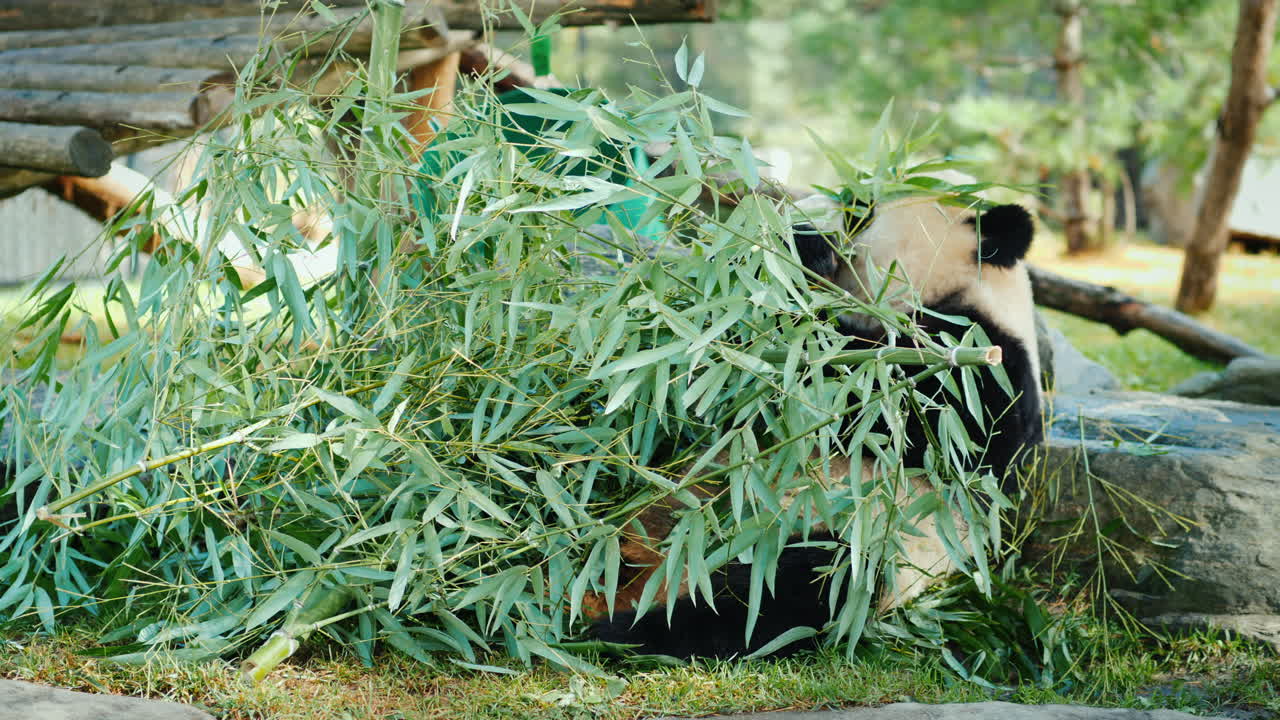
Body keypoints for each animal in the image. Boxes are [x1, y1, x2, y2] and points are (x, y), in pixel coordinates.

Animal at [588, 191, 1044, 660]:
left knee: (787, 592)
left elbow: (858, 394)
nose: (827, 207)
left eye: (862, 212)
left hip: (856, 544)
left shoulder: (979, 373)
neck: (972, 293)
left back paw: (625, 632)